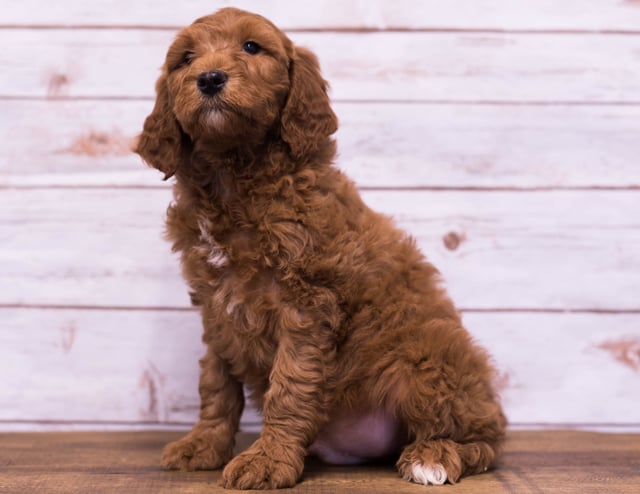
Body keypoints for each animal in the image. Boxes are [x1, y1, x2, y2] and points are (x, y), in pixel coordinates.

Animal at [135, 8, 504, 490]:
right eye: (186, 59)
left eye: (252, 47)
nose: (210, 78)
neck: (234, 176)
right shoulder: (216, 308)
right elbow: (216, 384)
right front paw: (204, 446)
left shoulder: (307, 305)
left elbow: (289, 388)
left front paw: (267, 460)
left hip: (426, 356)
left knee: (484, 438)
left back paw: (434, 456)